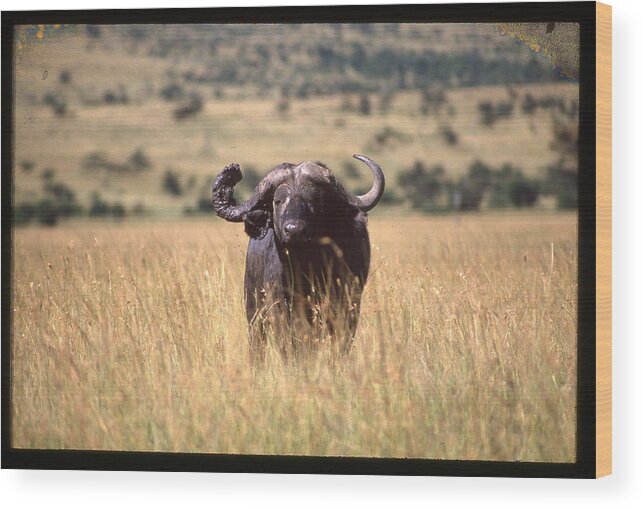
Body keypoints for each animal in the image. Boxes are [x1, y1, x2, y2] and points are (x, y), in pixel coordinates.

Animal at [211, 153, 384, 356]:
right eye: (278, 201)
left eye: (314, 200)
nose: (295, 230)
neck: (305, 267)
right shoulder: (280, 307)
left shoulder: (347, 304)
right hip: (253, 308)